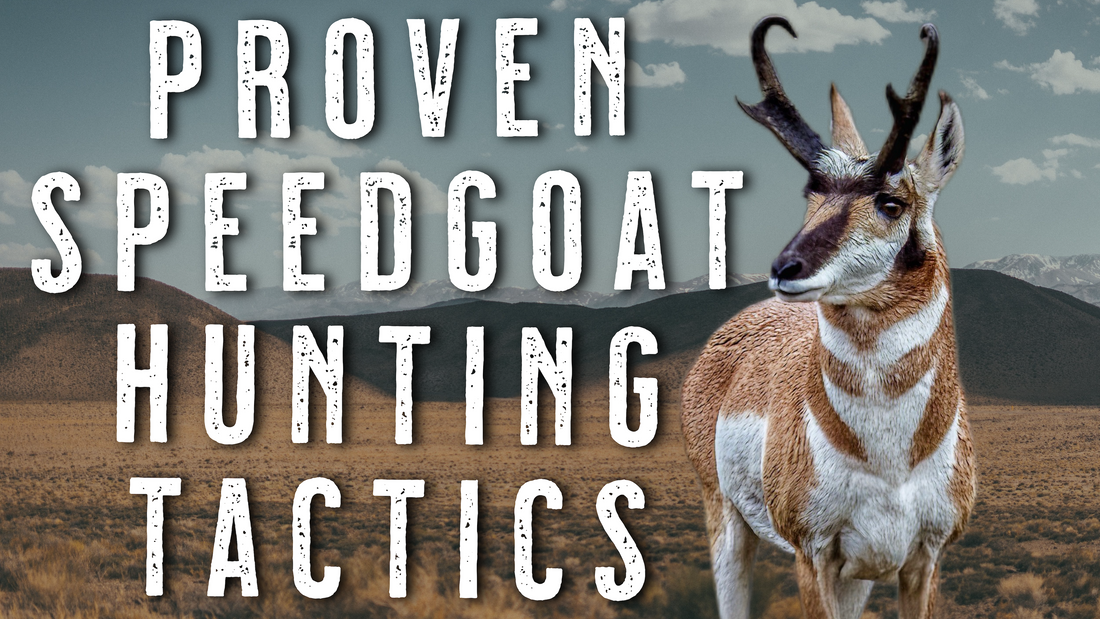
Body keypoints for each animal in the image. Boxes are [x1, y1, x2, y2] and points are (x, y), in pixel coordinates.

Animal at [681, 17, 975, 619]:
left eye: (892, 202)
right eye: (811, 192)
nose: (784, 267)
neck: (890, 463)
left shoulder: (924, 558)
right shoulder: (812, 554)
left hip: (859, 574)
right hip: (725, 517)